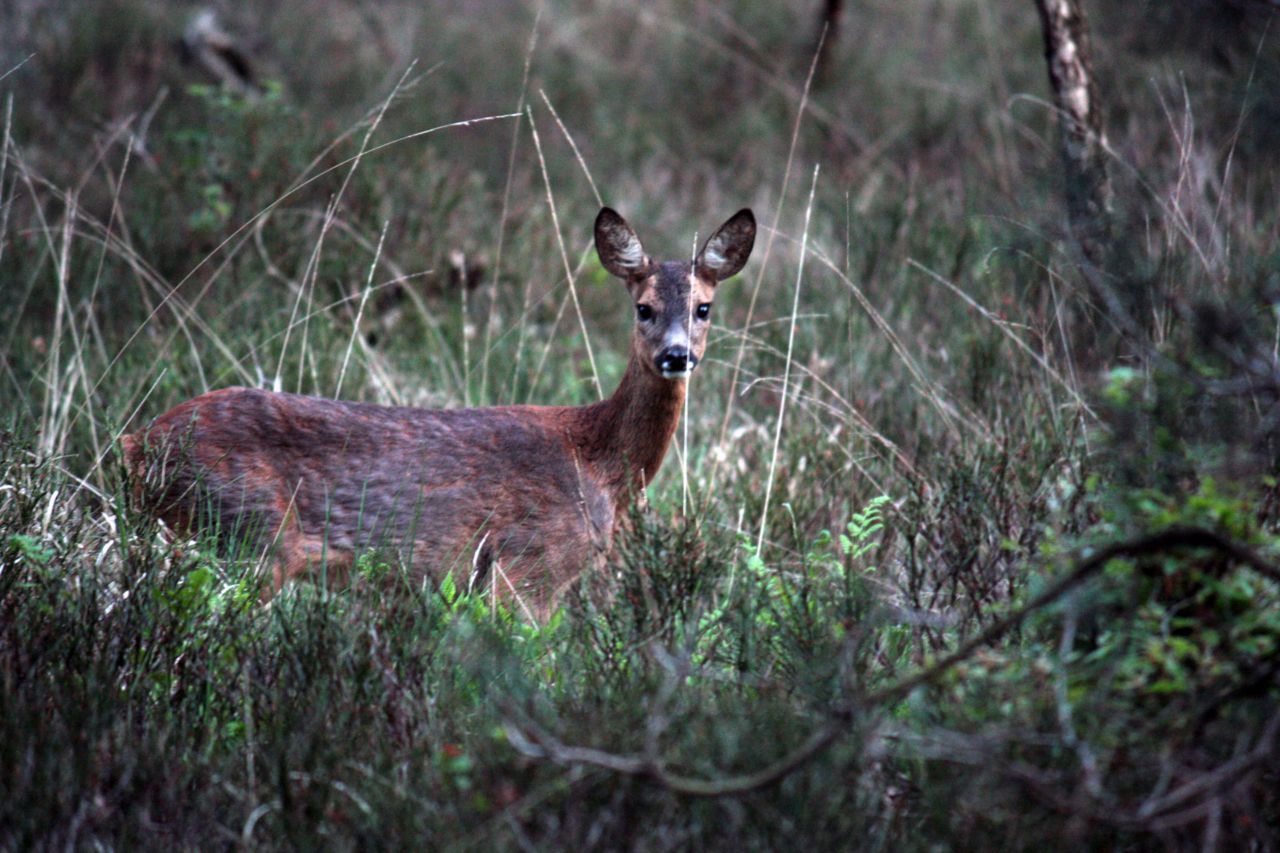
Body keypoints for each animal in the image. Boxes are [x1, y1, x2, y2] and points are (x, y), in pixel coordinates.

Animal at [122, 207, 747, 617]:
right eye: (643, 307)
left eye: (704, 308)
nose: (676, 356)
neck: (597, 459)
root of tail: (134, 445)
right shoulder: (529, 565)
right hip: (243, 531)